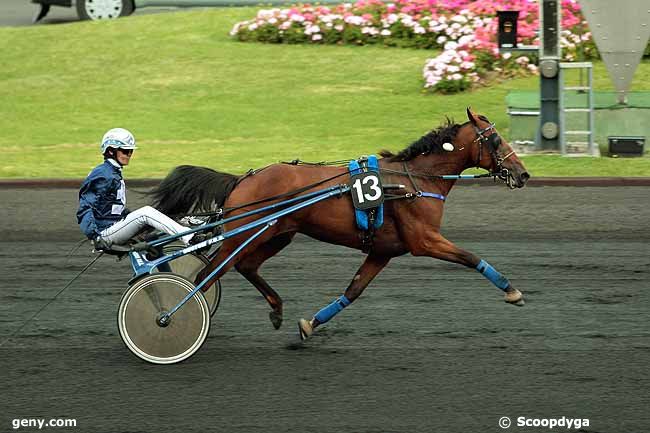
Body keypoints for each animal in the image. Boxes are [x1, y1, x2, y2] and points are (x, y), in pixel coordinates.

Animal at [151, 107, 528, 338]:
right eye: (495, 139)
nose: (523, 174)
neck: (413, 179)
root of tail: (243, 178)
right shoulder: (425, 240)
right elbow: (471, 257)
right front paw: (512, 290)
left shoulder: (383, 250)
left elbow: (353, 290)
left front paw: (310, 325)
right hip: (245, 233)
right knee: (206, 274)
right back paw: (177, 315)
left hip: (276, 234)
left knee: (244, 266)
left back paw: (276, 309)